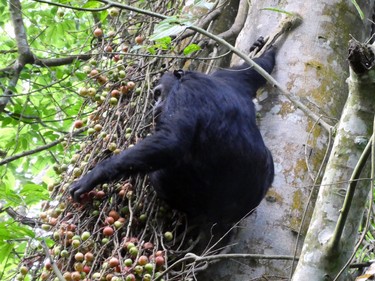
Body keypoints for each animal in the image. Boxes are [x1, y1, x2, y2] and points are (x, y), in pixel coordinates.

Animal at [70, 44, 276, 223]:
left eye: (158, 93)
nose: (155, 105)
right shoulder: (225, 77)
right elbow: (253, 71)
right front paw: (267, 49)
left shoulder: (181, 93)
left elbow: (172, 141)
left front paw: (95, 175)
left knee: (160, 174)